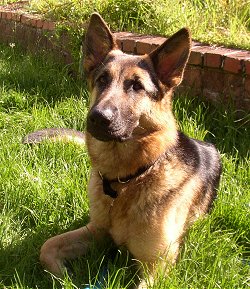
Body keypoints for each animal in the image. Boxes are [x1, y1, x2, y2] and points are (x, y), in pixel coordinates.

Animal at [24, 12, 222, 286]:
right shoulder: (96, 232)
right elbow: (48, 246)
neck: (129, 179)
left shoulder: (156, 267)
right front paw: (64, 277)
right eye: (102, 80)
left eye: (136, 86)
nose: (98, 118)